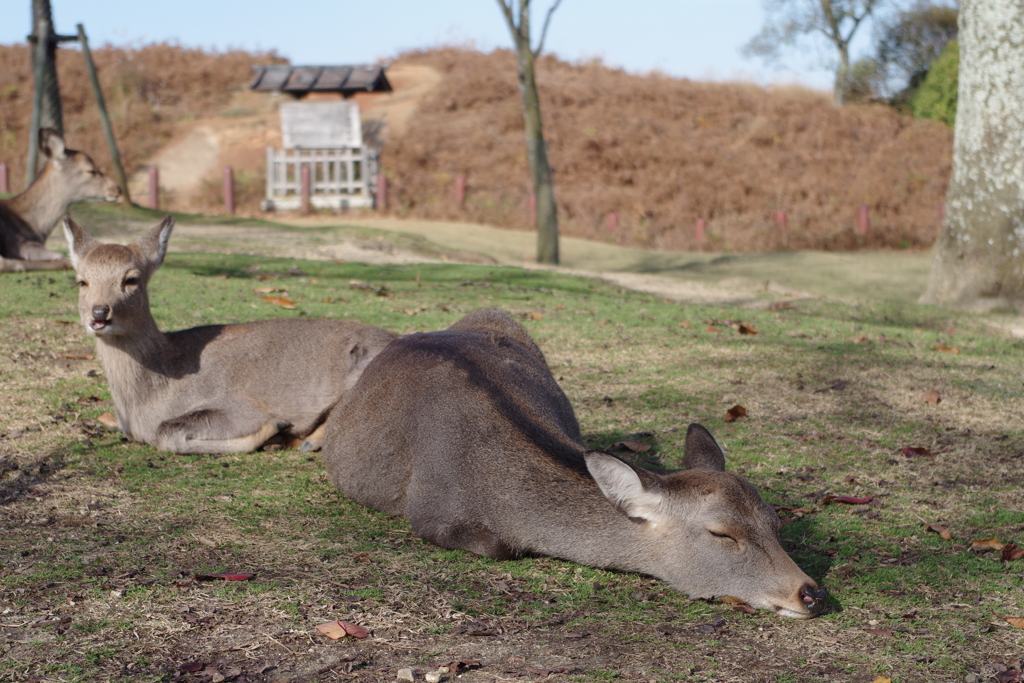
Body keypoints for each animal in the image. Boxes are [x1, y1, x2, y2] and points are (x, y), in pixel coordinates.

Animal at [61, 216, 393, 454]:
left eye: (131, 279)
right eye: (82, 281)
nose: (99, 313)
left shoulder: (239, 407)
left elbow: (167, 433)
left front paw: (275, 427)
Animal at [323, 309, 827, 618]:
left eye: (775, 520)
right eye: (721, 533)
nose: (811, 593)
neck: (492, 491)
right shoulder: (428, 512)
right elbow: (501, 547)